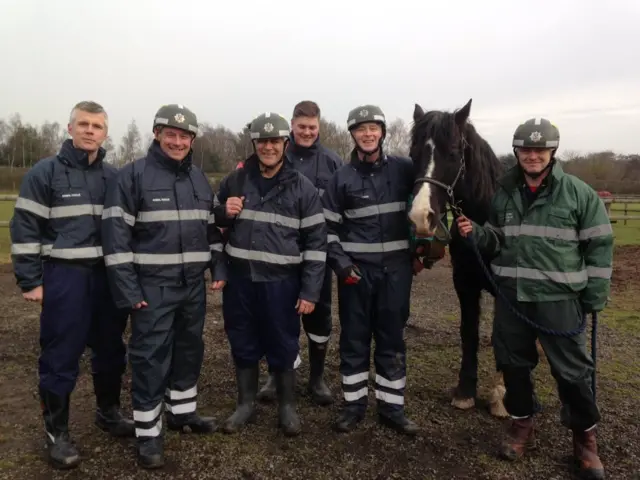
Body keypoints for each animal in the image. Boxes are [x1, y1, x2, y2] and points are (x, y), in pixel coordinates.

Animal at [404, 97, 510, 416]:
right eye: (413, 153)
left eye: (452, 153)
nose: (420, 217)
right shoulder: (464, 284)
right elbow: (468, 333)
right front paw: (465, 390)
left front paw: (501, 396)